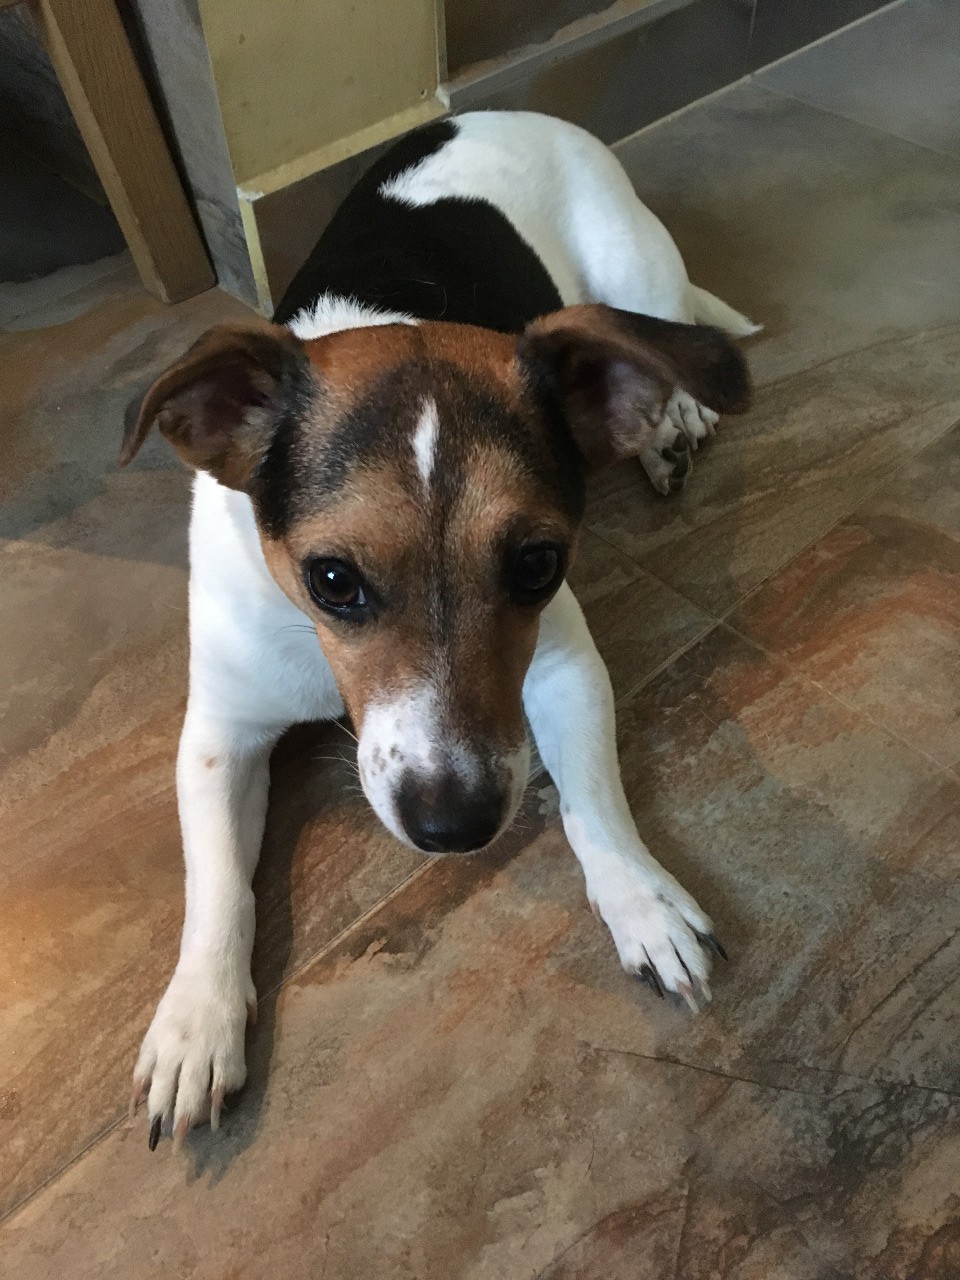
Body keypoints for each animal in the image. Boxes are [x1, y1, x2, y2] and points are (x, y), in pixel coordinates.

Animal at [121, 111, 756, 1149]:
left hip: (637, 274)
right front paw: (196, 1019)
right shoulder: (218, 734)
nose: (454, 826)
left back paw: (677, 413)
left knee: (675, 345)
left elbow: (592, 802)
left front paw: (641, 899)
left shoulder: (565, 666)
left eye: (537, 564)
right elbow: (216, 885)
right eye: (331, 579)